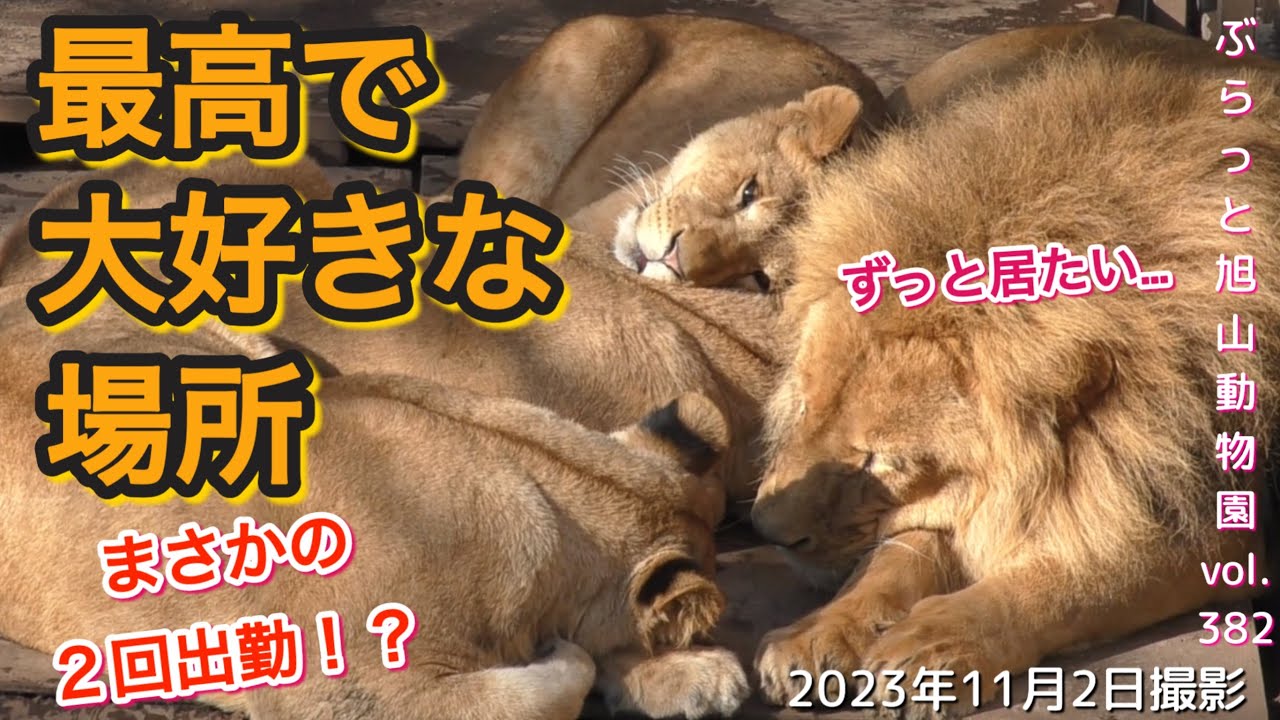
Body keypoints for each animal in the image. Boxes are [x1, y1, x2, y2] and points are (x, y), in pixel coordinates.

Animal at [747, 42, 1280, 717]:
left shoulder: (1226, 526)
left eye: (879, 462)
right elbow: (902, 553)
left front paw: (932, 648)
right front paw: (820, 629)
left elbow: (1088, 574)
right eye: (803, 409)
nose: (766, 532)